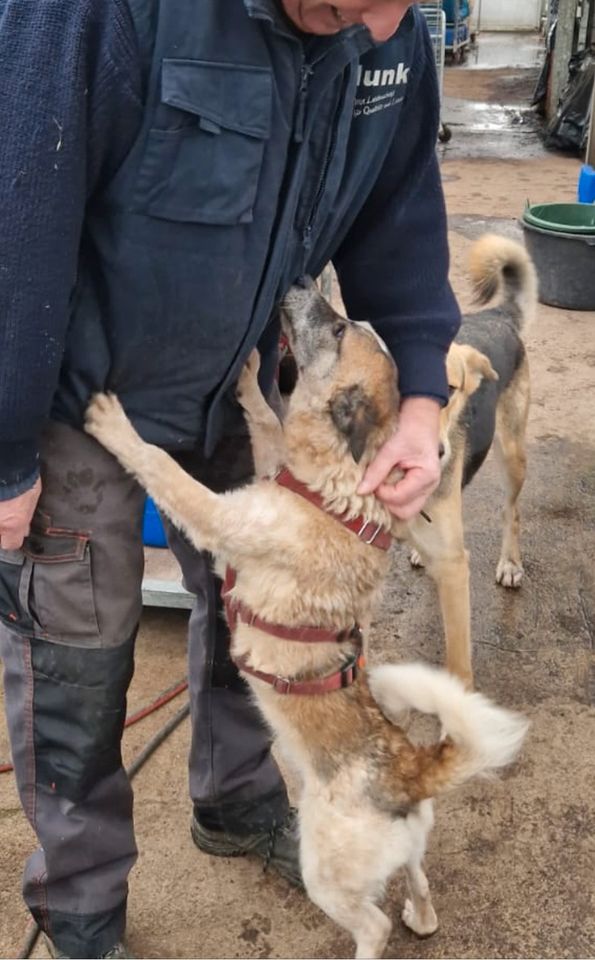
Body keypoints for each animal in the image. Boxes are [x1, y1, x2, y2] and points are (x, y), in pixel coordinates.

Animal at [87, 284, 528, 960]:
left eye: (341, 329)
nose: (298, 284)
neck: (337, 487)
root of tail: (411, 772)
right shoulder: (271, 461)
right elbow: (267, 422)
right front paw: (247, 381)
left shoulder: (218, 516)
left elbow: (164, 468)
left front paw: (118, 429)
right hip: (405, 851)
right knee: (418, 882)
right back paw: (420, 914)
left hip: (326, 869)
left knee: (373, 924)